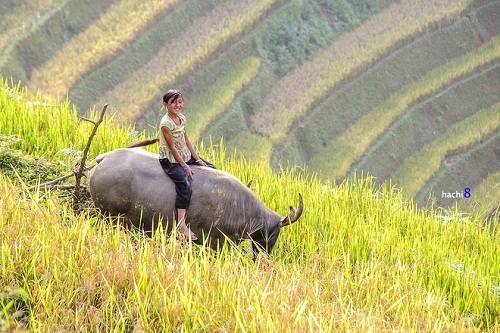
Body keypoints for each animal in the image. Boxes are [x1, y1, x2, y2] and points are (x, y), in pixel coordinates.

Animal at [88, 147, 302, 254]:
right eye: (274, 233)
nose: (264, 256)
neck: (241, 207)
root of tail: (105, 159)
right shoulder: (216, 244)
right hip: (110, 218)